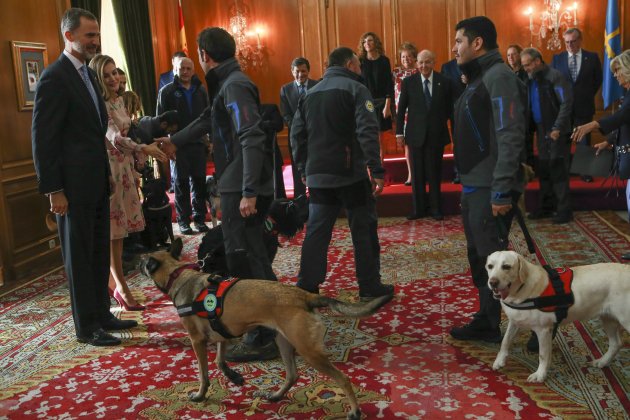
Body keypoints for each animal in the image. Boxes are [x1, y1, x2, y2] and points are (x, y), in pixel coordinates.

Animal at [141, 238, 392, 418]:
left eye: (144, 261)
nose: (138, 260)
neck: (178, 275)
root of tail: (305, 296)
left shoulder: (197, 341)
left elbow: (204, 373)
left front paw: (200, 394)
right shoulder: (221, 335)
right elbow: (220, 361)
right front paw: (234, 377)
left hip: (308, 351)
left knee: (343, 379)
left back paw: (355, 411)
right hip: (284, 342)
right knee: (292, 375)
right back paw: (276, 395)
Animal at [486, 251, 628, 382]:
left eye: (506, 266)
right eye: (490, 266)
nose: (492, 282)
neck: (520, 290)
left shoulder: (543, 330)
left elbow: (543, 355)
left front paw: (540, 375)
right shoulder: (515, 321)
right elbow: (505, 341)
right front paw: (499, 361)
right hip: (608, 318)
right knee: (616, 343)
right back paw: (602, 362)